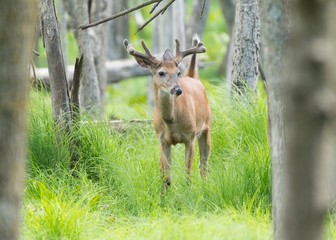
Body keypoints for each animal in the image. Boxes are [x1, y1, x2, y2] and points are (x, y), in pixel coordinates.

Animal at [123, 36, 213, 188]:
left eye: (177, 72)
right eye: (161, 73)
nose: (178, 90)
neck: (171, 122)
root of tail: (192, 77)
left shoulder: (190, 137)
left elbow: (187, 175)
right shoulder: (162, 140)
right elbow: (167, 178)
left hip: (207, 127)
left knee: (203, 166)